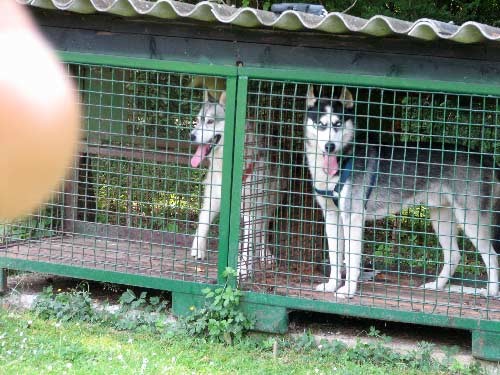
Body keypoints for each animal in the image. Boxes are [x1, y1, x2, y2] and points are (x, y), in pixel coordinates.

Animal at [189, 92, 284, 278]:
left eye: (210, 122)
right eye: (197, 120)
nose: (191, 136)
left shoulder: (250, 210)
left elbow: (248, 244)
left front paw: (243, 270)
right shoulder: (214, 197)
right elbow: (203, 223)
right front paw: (197, 249)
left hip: (266, 206)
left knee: (261, 232)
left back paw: (264, 255)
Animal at [302, 85, 498, 300]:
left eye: (337, 124)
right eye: (321, 124)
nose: (330, 146)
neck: (342, 163)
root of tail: (485, 158)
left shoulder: (353, 218)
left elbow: (352, 260)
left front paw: (348, 290)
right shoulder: (331, 216)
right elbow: (335, 258)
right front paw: (332, 285)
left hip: (470, 221)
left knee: (492, 256)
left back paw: (491, 291)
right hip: (440, 218)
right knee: (454, 254)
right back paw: (437, 285)